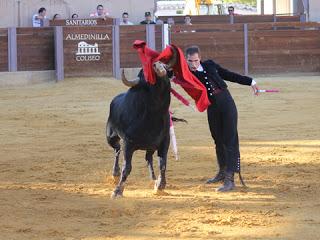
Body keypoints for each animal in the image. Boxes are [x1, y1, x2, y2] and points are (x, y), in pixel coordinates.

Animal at [106, 61, 174, 198]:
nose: (157, 64)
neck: (153, 116)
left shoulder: (165, 141)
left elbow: (163, 164)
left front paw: (160, 185)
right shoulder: (128, 143)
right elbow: (127, 167)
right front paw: (117, 190)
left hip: (150, 147)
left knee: (148, 159)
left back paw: (153, 179)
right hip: (111, 137)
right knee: (117, 150)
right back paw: (115, 174)